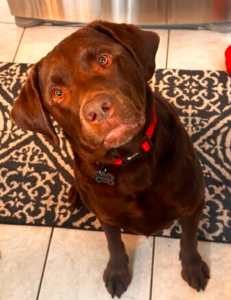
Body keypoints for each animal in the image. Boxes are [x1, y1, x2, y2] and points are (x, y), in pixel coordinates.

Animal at [10, 21, 209, 298]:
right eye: (58, 93)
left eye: (103, 59)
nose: (97, 109)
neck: (130, 160)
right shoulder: (107, 218)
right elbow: (114, 244)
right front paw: (117, 272)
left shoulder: (192, 204)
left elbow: (189, 240)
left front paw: (193, 267)